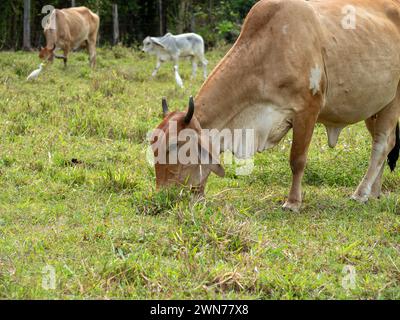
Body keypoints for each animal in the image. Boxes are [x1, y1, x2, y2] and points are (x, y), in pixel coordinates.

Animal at [152, 0, 400, 212]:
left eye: (175, 146)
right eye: (153, 146)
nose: (163, 195)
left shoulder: (307, 110)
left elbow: (297, 160)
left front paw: (293, 202)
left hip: (393, 100)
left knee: (381, 146)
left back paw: (361, 193)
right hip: (375, 106)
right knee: (384, 143)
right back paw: (374, 192)